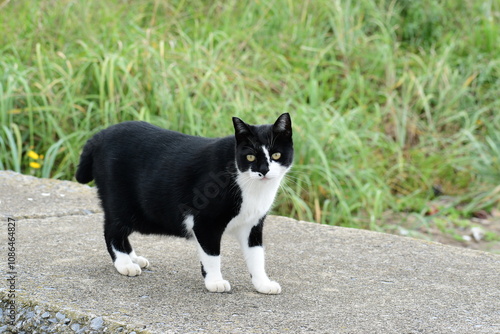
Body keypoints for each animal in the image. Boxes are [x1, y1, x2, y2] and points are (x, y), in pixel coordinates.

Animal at [74, 113, 292, 294]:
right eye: (250, 156)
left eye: (276, 155)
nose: (263, 170)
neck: (251, 187)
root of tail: (100, 134)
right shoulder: (205, 222)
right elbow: (212, 255)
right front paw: (214, 282)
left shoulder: (253, 224)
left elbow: (257, 256)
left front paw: (263, 284)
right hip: (121, 203)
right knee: (112, 230)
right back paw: (125, 264)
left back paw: (133, 258)